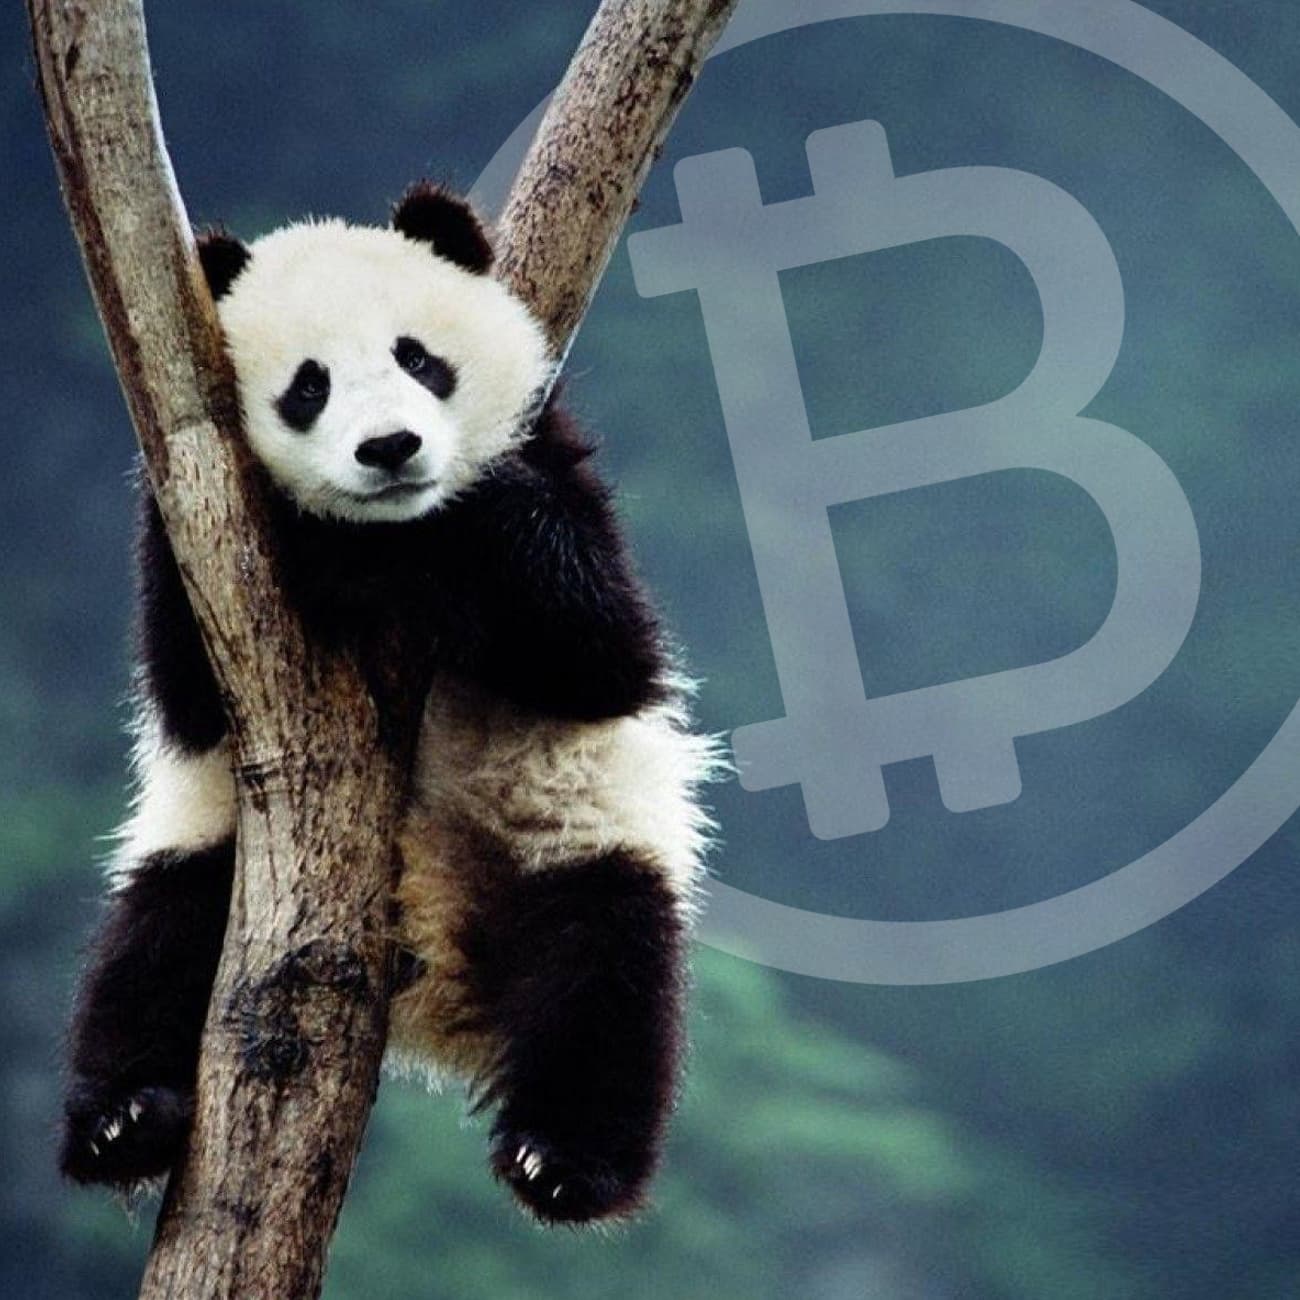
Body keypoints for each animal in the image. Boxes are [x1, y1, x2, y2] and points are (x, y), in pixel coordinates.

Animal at [58, 182, 720, 1225]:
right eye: (308, 387)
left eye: (419, 358)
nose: (392, 448)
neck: (395, 536)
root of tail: (437, 983)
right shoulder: (197, 527)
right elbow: (189, 694)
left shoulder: (559, 467)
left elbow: (603, 651)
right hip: (213, 862)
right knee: (150, 950)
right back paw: (124, 1121)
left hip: (576, 840)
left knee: (607, 984)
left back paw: (562, 1160)